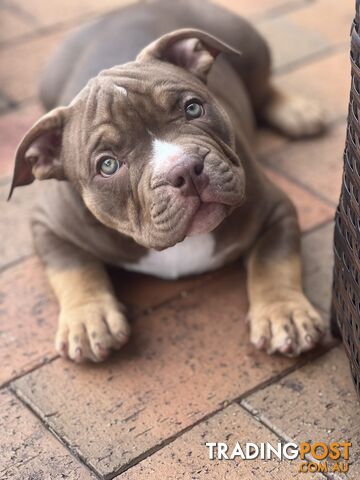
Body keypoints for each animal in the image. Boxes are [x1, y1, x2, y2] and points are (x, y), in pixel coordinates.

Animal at [9, 0, 330, 360]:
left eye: (193, 109)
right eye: (108, 165)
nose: (184, 169)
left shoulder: (276, 210)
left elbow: (274, 260)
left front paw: (285, 313)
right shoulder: (49, 225)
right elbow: (72, 266)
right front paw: (89, 319)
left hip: (249, 49)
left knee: (261, 88)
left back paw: (298, 112)